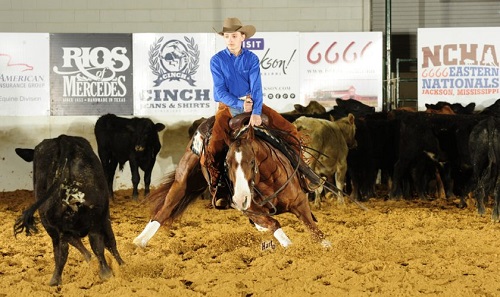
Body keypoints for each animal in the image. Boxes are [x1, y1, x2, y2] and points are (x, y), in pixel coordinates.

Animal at [13, 135, 124, 286]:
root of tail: (63, 139)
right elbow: (106, 242)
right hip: (96, 215)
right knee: (97, 242)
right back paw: (107, 272)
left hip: (57, 222)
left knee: (64, 250)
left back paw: (56, 280)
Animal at [136, 120, 332, 247]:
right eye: (226, 163)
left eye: (252, 162)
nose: (240, 198)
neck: (268, 182)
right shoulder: (250, 210)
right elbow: (275, 225)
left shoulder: (300, 203)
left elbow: (316, 232)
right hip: (183, 179)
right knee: (165, 208)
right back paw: (139, 240)